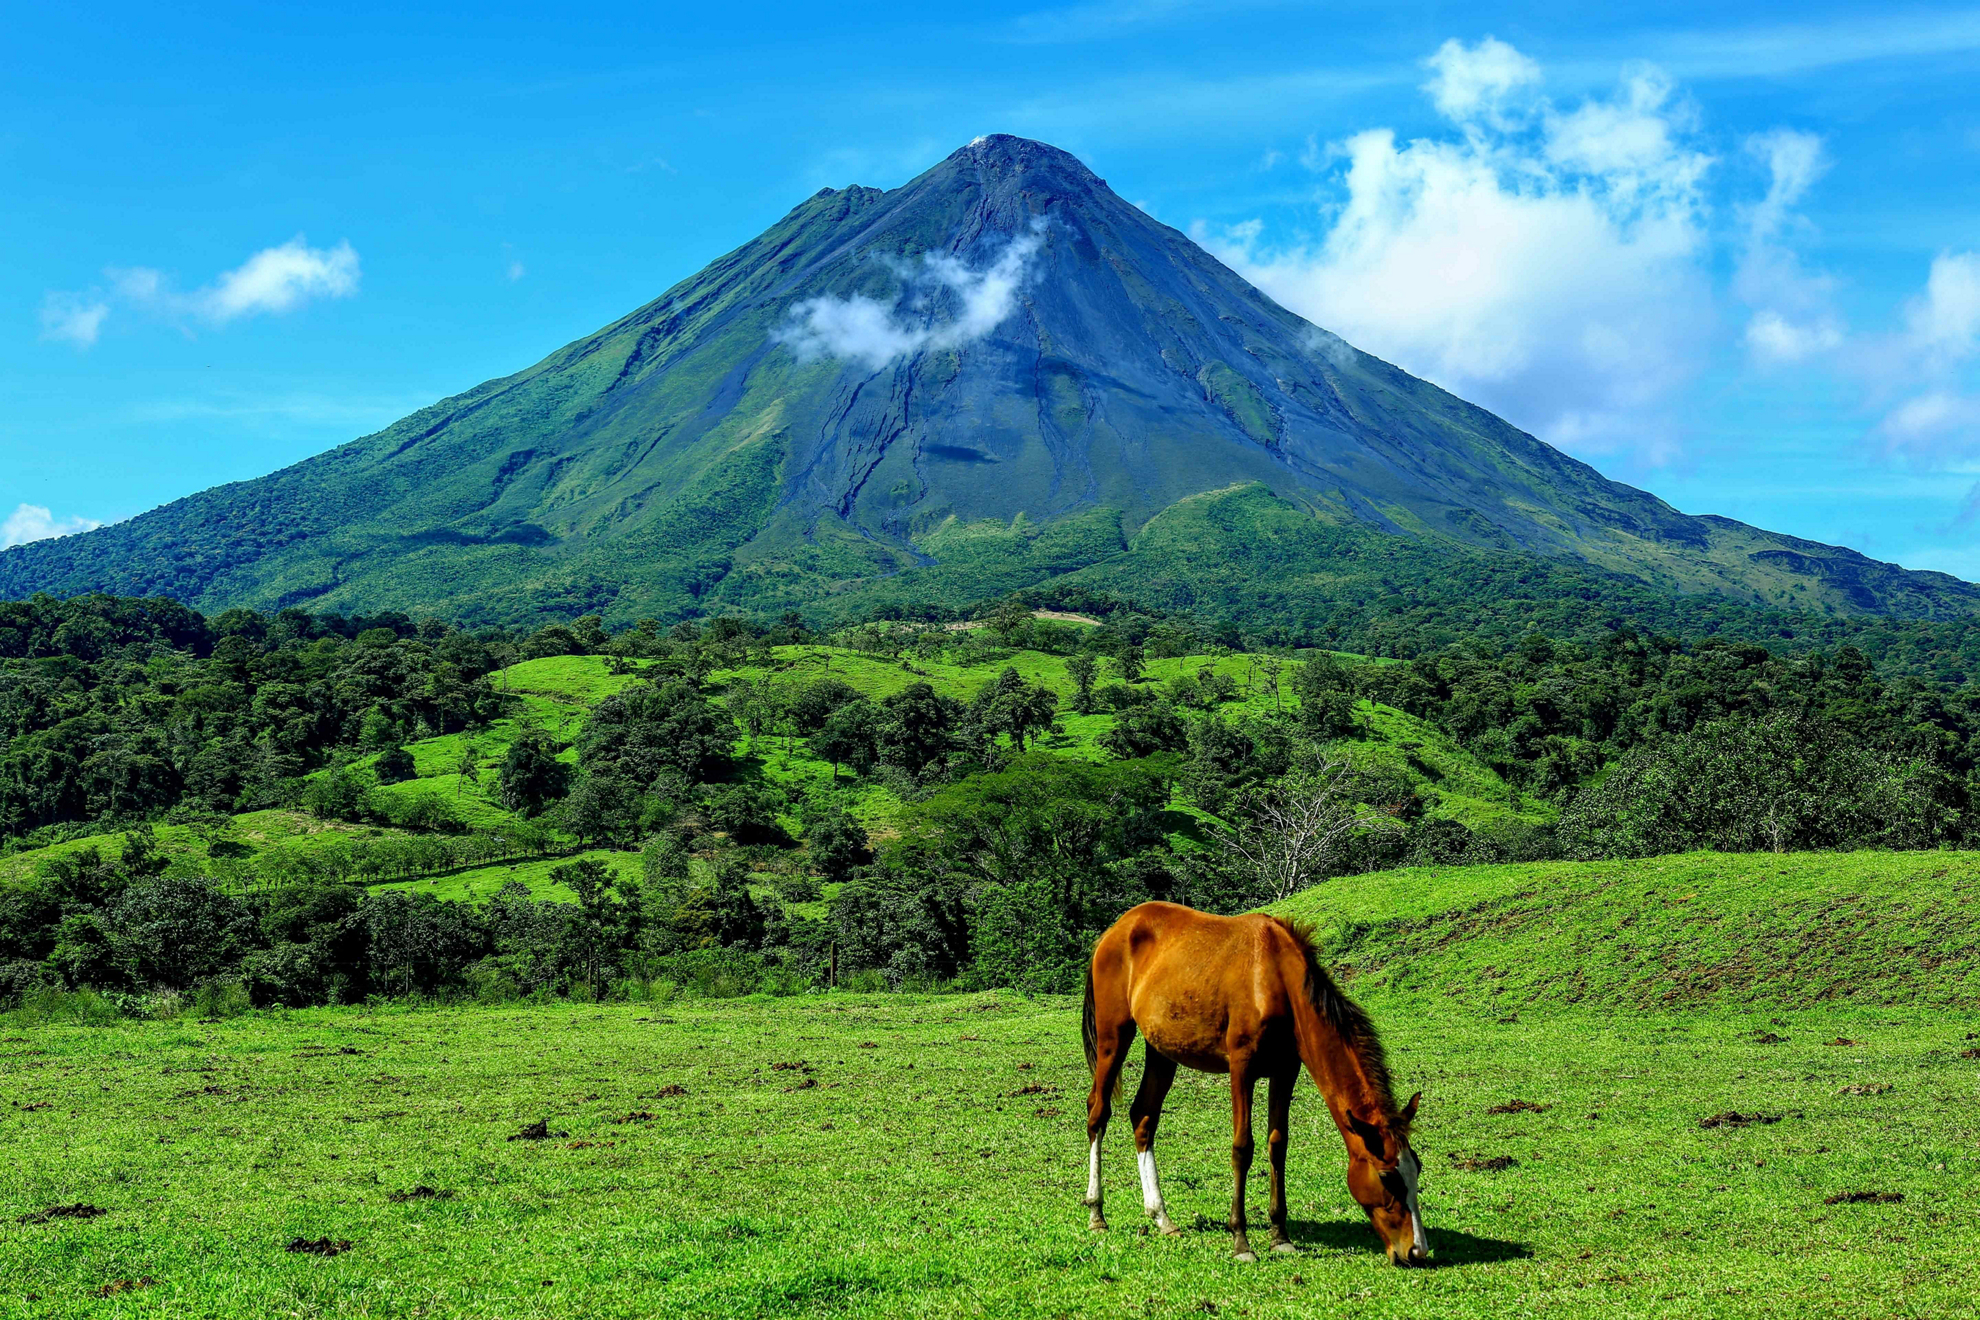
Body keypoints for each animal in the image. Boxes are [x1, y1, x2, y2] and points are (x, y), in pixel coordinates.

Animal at [1085, 902, 1425, 1266]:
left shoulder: (1285, 1070)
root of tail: (1116, 930)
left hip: (1162, 1051)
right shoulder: (1241, 1067)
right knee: (1098, 1113)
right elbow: (1242, 1148)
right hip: (1114, 1036)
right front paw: (1241, 1241)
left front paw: (1280, 1236)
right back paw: (1097, 1214)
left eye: (1417, 1168)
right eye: (1387, 1177)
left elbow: (1277, 1145)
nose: (1417, 1250)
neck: (1275, 978)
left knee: (1143, 1117)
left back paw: (1162, 1217)